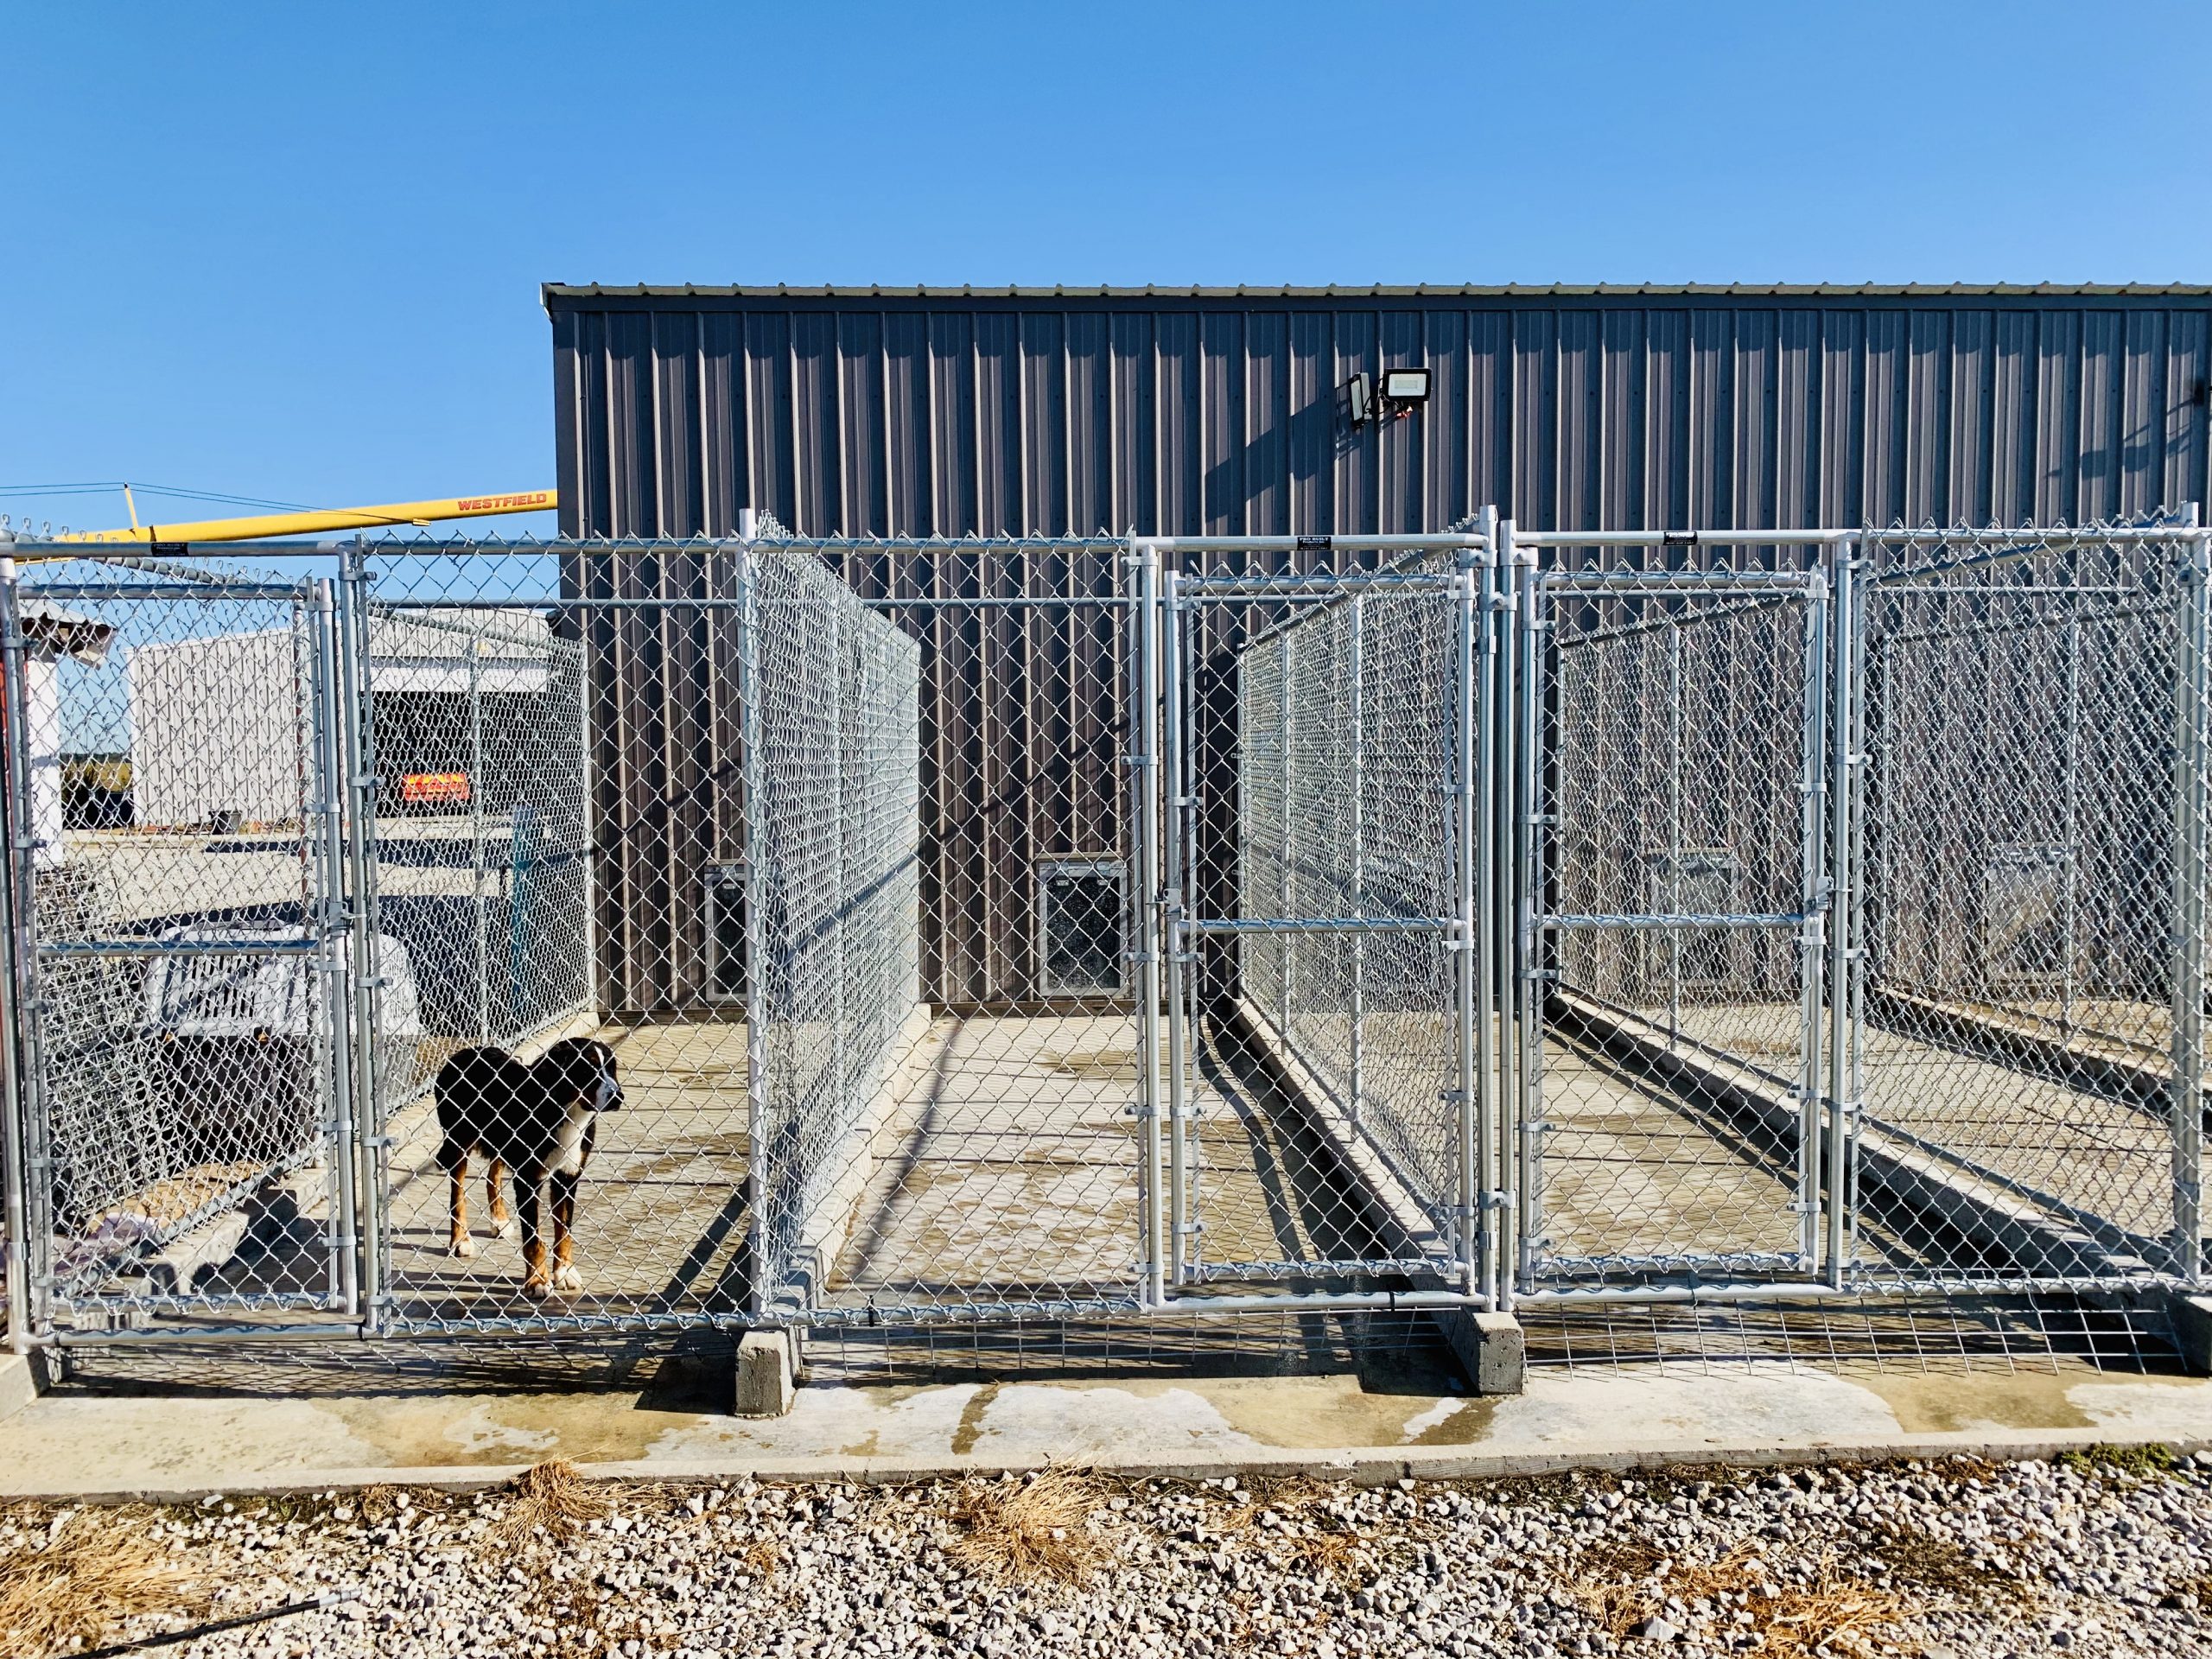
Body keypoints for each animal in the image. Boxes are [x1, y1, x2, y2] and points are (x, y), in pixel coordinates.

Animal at [431, 1039, 623, 1300]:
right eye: (585, 1069)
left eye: (611, 1068)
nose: (618, 1096)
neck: (565, 1111)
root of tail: (464, 1052)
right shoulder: (528, 1178)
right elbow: (534, 1238)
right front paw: (537, 1281)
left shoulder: (568, 1175)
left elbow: (564, 1230)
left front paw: (564, 1272)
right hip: (459, 1141)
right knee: (457, 1192)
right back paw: (460, 1240)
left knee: (492, 1176)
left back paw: (500, 1220)